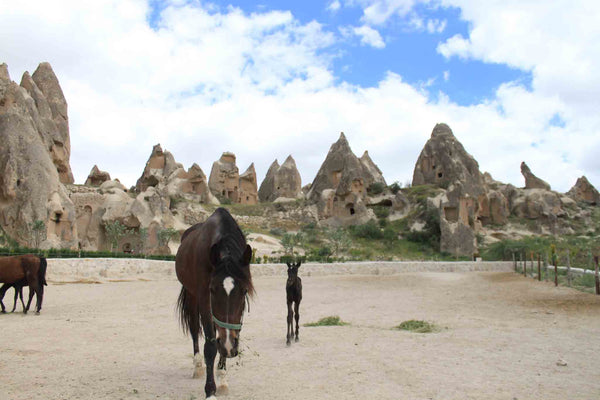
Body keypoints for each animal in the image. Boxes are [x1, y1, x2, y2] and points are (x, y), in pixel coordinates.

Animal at [177, 208, 254, 398]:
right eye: (212, 290)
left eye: (244, 291)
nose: (228, 346)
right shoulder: (205, 300)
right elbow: (211, 345)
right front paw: (210, 391)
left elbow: (226, 337)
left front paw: (223, 380)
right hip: (191, 295)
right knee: (194, 329)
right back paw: (198, 367)